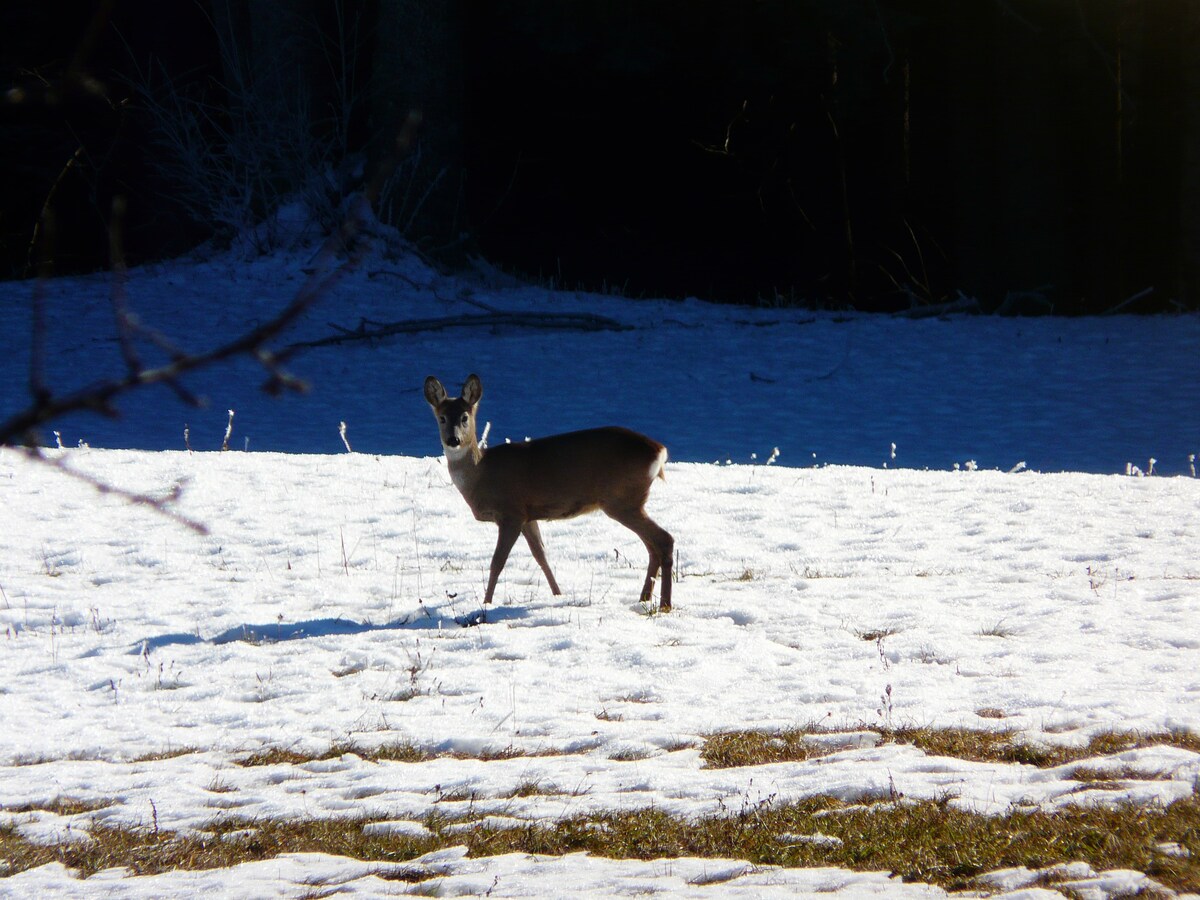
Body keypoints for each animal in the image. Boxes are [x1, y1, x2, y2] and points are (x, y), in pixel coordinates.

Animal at [424, 374, 676, 614]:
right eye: (442, 418)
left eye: (465, 417)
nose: (453, 440)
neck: (481, 473)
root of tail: (659, 450)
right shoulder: (528, 516)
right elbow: (541, 556)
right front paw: (558, 595)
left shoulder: (511, 512)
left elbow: (498, 561)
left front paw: (486, 603)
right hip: (629, 502)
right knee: (652, 545)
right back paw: (644, 598)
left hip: (622, 500)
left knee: (664, 539)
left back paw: (664, 604)